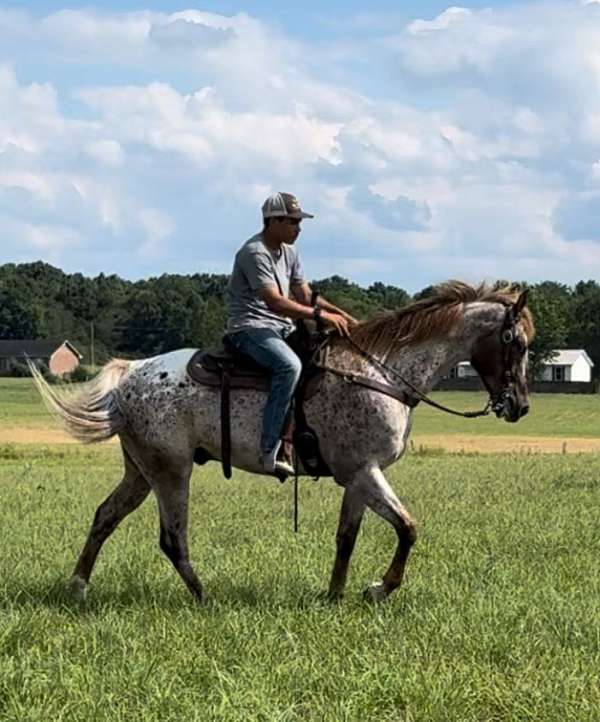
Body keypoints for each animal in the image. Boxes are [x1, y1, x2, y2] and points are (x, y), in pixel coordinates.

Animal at [30, 280, 536, 600]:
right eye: (517, 342)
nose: (519, 406)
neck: (378, 372)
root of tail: (130, 373)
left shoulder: (357, 476)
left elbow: (346, 537)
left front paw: (334, 594)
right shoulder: (365, 471)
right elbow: (408, 528)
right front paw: (379, 589)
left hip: (141, 471)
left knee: (104, 517)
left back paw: (79, 586)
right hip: (171, 471)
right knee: (172, 538)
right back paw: (203, 596)